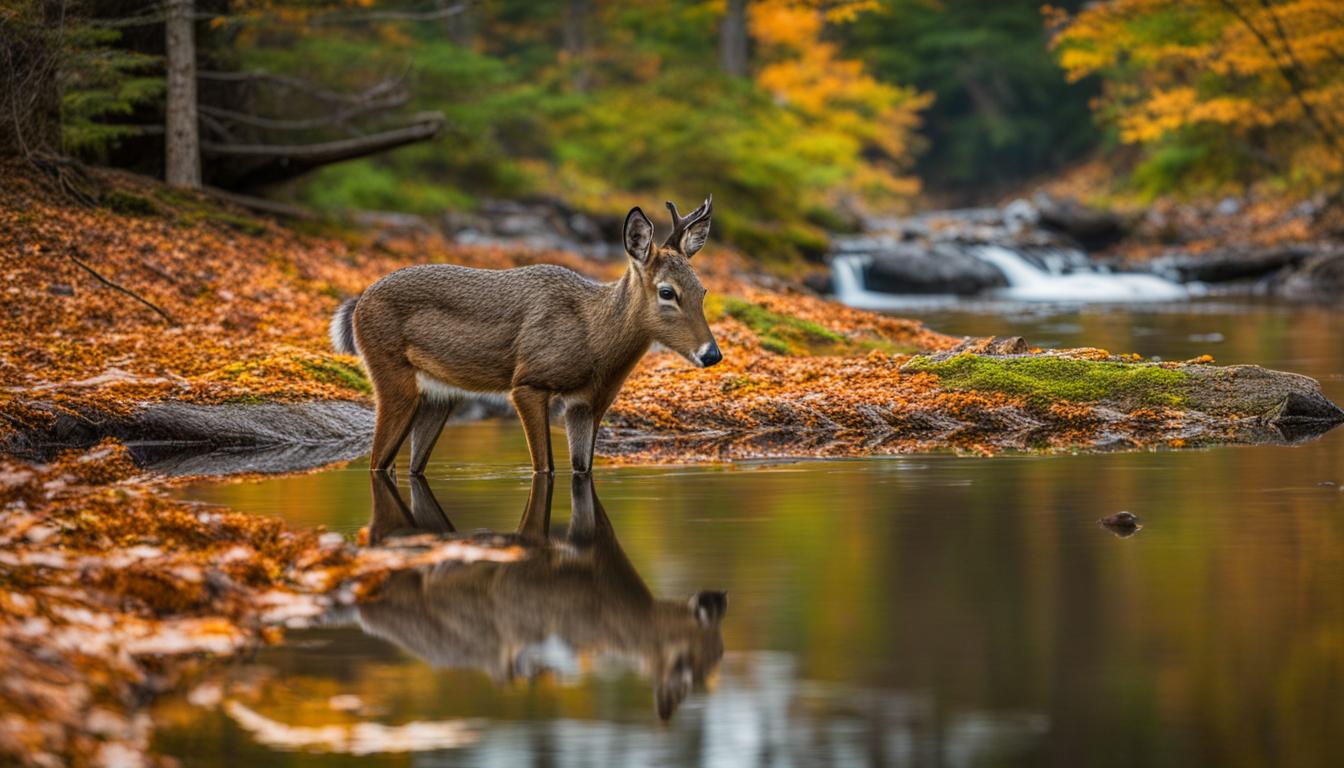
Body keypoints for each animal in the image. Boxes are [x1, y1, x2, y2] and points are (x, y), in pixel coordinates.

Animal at [330, 196, 720, 476]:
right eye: (667, 292)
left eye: (702, 291)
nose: (711, 354)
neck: (593, 338)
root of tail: (358, 304)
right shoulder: (528, 382)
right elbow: (545, 468)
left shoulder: (588, 403)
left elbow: (582, 469)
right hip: (391, 373)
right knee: (378, 461)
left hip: (440, 394)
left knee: (409, 466)